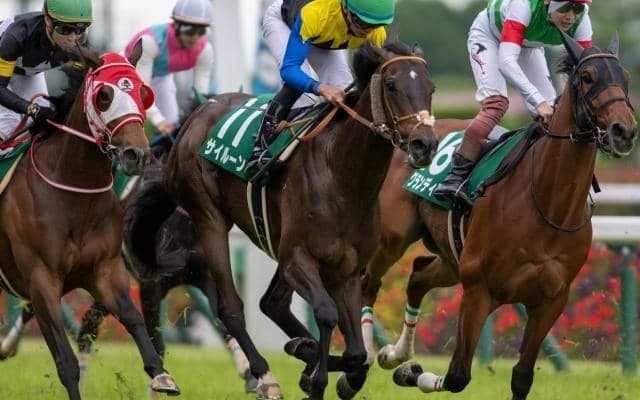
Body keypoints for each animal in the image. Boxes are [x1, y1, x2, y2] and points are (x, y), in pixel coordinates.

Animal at [0, 44, 179, 399]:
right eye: (104, 96)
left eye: (143, 92)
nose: (137, 155)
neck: (72, 193)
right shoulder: (41, 279)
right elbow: (65, 361)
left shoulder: (105, 269)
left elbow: (133, 319)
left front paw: (161, 375)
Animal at [138, 40, 439, 400]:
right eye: (391, 85)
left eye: (431, 87)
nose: (425, 145)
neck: (342, 176)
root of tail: (195, 118)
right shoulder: (298, 258)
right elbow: (326, 314)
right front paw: (313, 373)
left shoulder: (348, 271)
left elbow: (356, 352)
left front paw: (315, 363)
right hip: (209, 219)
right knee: (230, 308)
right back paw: (266, 376)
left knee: (273, 304)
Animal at [364, 33, 637, 399]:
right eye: (587, 77)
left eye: (625, 77)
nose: (624, 130)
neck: (548, 204)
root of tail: (408, 139)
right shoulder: (479, 290)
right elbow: (457, 375)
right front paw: (411, 373)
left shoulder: (552, 299)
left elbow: (521, 377)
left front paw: (407, 367)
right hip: (393, 239)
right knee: (368, 281)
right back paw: (364, 357)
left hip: (452, 260)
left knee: (418, 275)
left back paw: (395, 354)